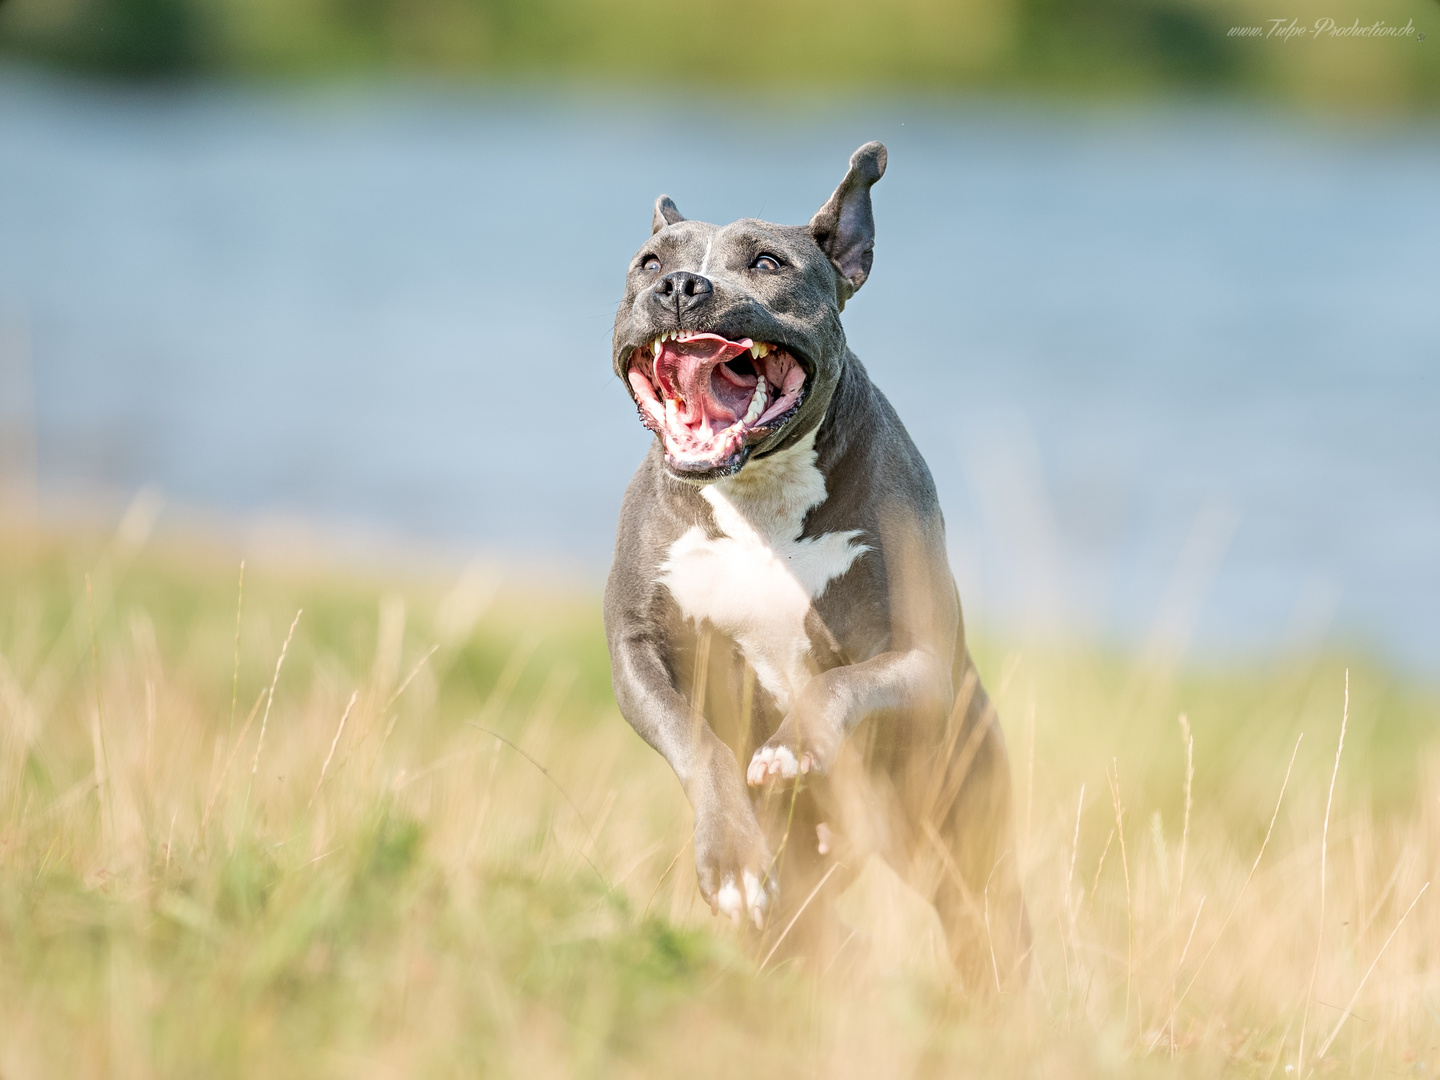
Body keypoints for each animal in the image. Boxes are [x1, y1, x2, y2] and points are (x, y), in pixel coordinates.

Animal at [601, 144, 1031, 990]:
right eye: (648, 263)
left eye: (767, 263)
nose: (681, 287)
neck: (756, 497)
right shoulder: (637, 650)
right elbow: (699, 742)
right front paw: (731, 859)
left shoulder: (923, 659)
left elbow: (839, 685)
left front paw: (794, 742)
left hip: (968, 848)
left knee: (990, 931)